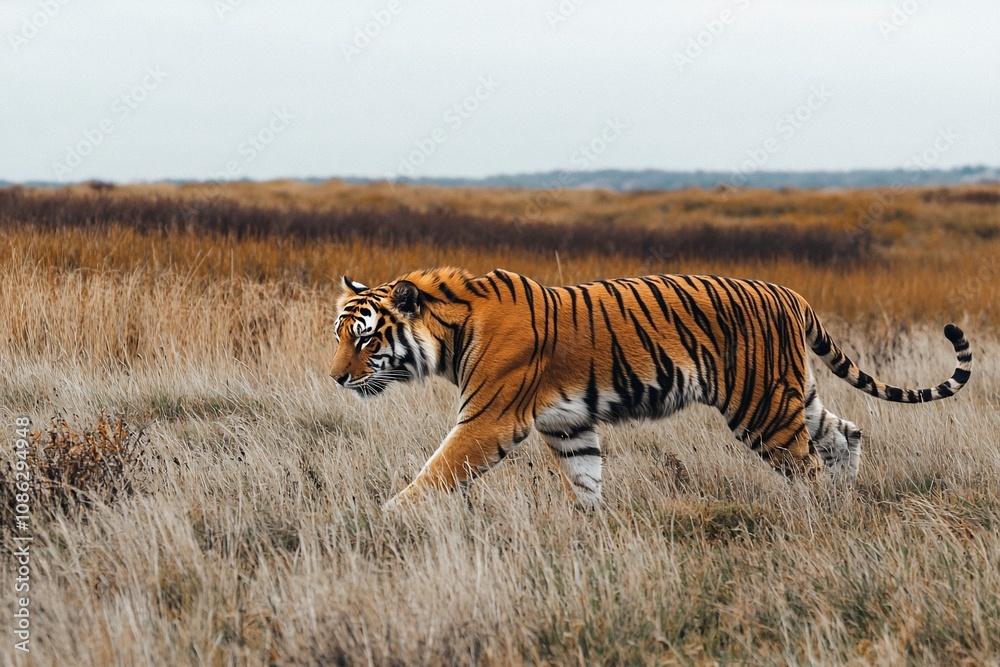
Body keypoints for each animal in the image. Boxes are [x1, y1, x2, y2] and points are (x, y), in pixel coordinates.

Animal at [329, 267, 972, 509]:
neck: (450, 331)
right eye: (339, 334)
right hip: (792, 394)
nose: (336, 378)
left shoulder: (488, 419)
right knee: (847, 432)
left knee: (809, 464)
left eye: (365, 339)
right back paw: (846, 499)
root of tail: (790, 293)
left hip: (761, 406)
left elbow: (436, 471)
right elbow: (586, 479)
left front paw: (389, 517)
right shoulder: (569, 425)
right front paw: (589, 530)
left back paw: (818, 514)